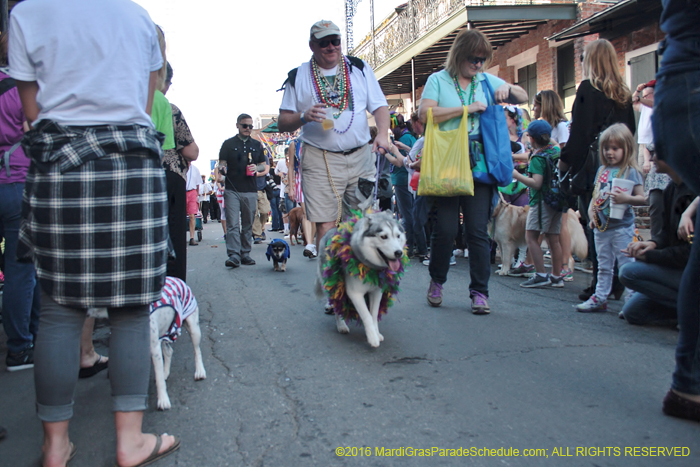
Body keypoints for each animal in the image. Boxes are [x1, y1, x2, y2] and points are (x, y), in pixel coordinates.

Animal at [316, 211, 408, 348]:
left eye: (398, 236)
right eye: (383, 237)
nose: (398, 253)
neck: (370, 266)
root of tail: (330, 230)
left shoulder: (377, 292)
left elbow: (374, 314)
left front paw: (376, 333)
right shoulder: (355, 293)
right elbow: (367, 315)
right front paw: (372, 338)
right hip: (333, 280)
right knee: (337, 302)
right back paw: (341, 324)